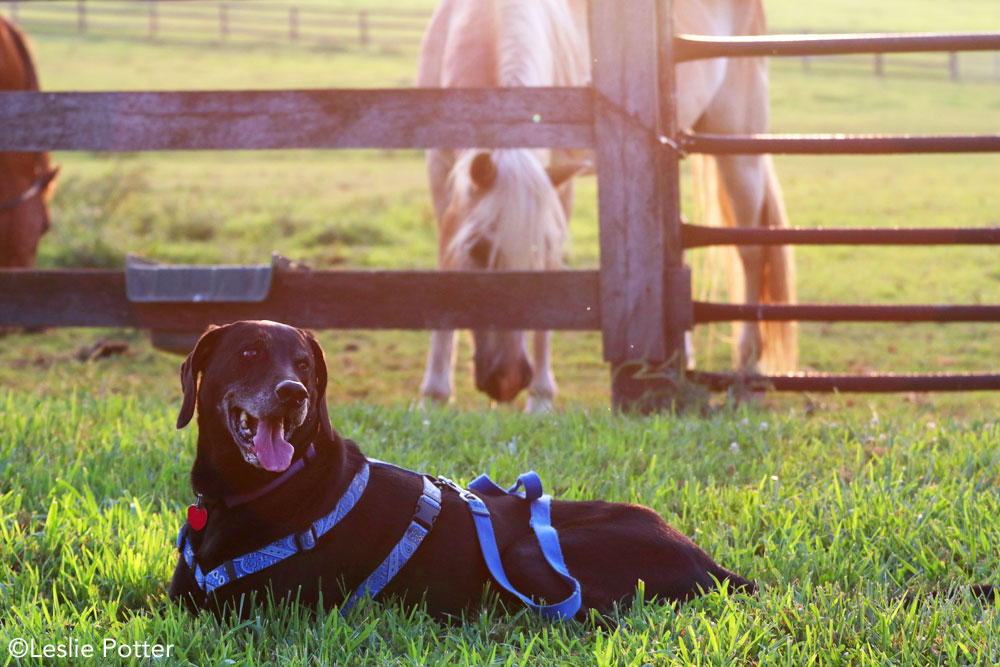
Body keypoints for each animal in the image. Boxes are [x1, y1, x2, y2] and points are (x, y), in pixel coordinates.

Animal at [168, 320, 752, 620]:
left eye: (305, 364)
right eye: (249, 352)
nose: (293, 394)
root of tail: (711, 563)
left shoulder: (251, 612)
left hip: (529, 553)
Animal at [416, 0, 796, 410]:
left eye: (540, 253)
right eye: (479, 250)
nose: (508, 379)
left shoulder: (558, 188)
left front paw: (541, 399)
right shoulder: (441, 176)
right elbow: (445, 265)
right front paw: (434, 396)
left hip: (739, 148)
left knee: (751, 251)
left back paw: (747, 377)